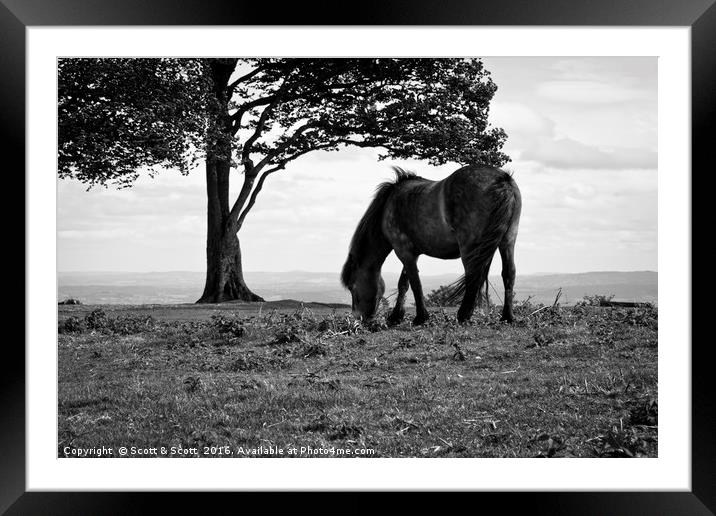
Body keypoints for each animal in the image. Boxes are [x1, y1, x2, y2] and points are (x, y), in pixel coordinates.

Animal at [342, 165, 520, 324]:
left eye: (352, 286)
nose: (359, 318)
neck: (389, 206)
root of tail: (502, 179)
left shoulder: (403, 251)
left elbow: (415, 283)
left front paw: (420, 317)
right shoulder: (411, 253)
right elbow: (404, 283)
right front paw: (396, 316)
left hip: (470, 247)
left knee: (472, 275)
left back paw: (463, 315)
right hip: (507, 240)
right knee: (508, 273)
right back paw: (507, 317)